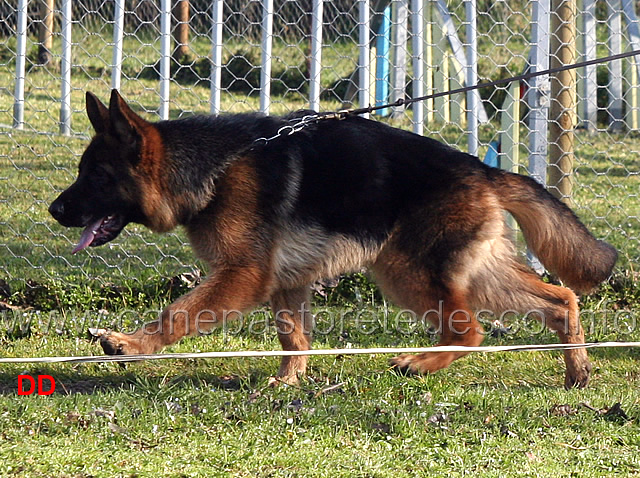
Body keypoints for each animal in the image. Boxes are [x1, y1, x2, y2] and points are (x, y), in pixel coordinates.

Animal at [47, 89, 616, 388]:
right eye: (81, 173)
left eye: (97, 177)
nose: (54, 210)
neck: (212, 170)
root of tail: (481, 168)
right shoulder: (284, 282)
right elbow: (294, 336)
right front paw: (288, 383)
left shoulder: (241, 276)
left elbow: (176, 313)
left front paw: (130, 345)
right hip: (471, 273)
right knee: (560, 297)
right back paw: (578, 372)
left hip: (408, 272)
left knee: (470, 331)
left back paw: (419, 362)